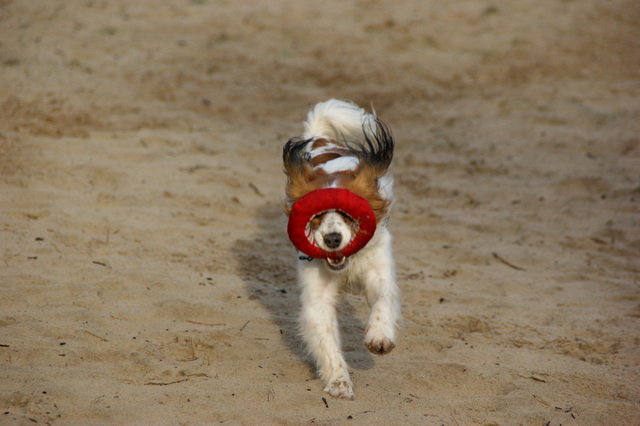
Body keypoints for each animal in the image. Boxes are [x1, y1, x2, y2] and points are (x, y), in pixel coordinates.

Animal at [282, 100, 398, 400]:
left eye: (348, 214)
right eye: (316, 215)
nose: (332, 239)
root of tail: (321, 140)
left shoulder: (379, 271)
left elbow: (383, 301)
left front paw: (379, 336)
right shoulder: (318, 296)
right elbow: (326, 339)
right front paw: (338, 381)